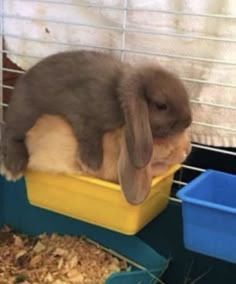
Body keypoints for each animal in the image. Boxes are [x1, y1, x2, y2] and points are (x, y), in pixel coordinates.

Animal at [1, 49, 192, 182]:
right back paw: (14, 168)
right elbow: (89, 136)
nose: (188, 121)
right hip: (25, 114)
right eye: (161, 106)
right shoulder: (82, 114)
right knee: (11, 136)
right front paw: (91, 164)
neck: (117, 93)